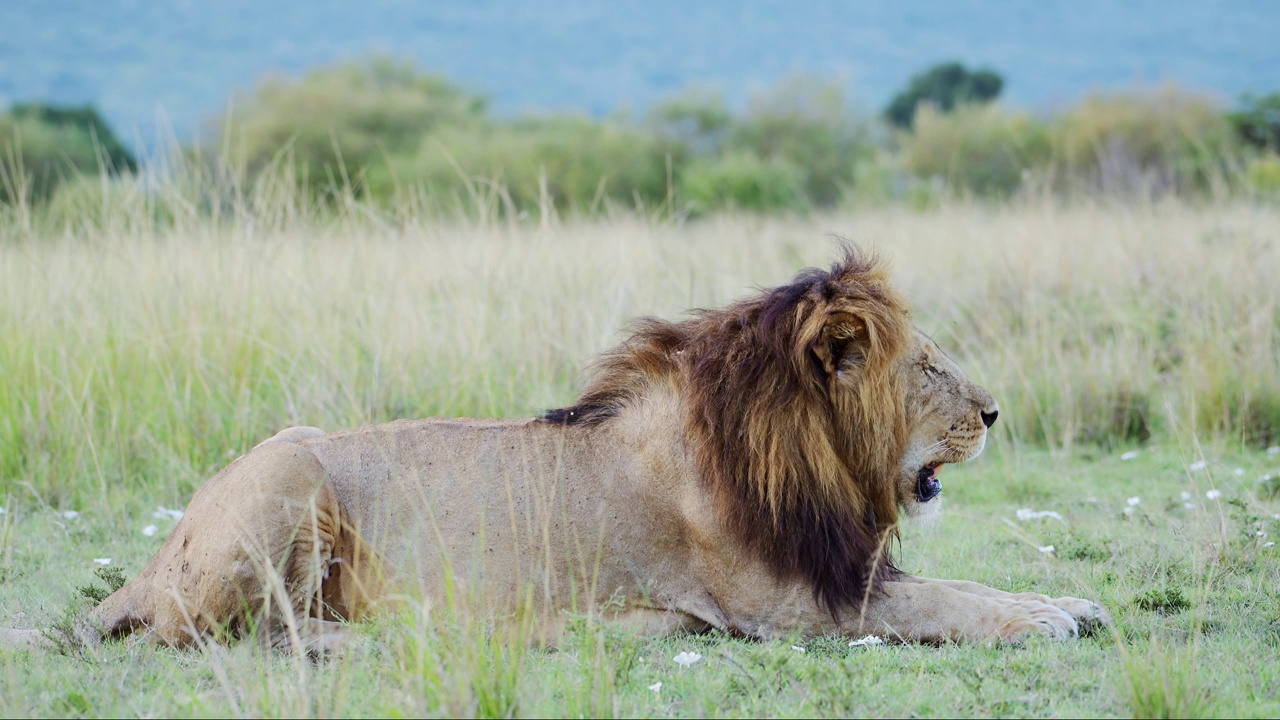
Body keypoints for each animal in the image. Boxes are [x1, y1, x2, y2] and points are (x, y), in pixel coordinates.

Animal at [0, 251, 1105, 650]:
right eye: (928, 366)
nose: (994, 413)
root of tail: (156, 554)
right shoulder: (787, 602)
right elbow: (943, 603)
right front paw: (1046, 620)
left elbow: (964, 586)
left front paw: (1069, 601)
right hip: (289, 474)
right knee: (211, 634)